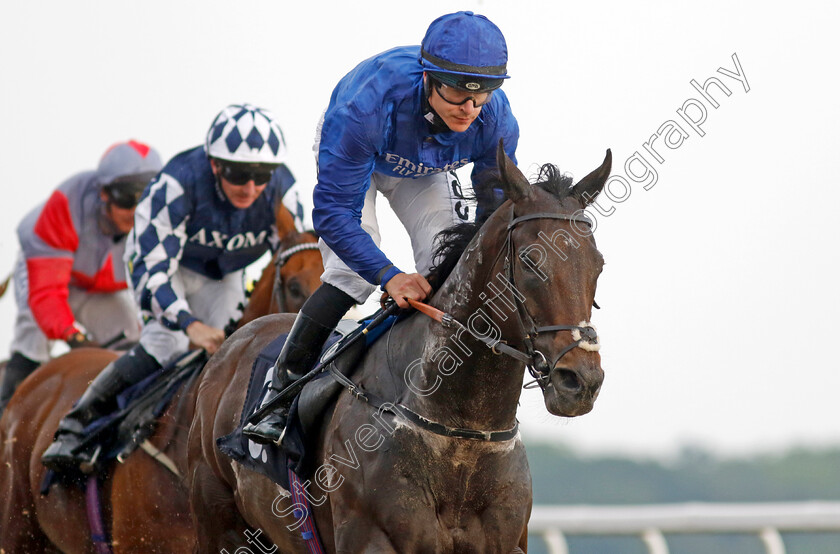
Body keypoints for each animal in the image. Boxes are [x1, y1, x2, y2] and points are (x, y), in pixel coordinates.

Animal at [187, 143, 612, 552]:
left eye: (599, 265)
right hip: (207, 519)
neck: (462, 435)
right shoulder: (373, 538)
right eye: (529, 260)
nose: (582, 381)